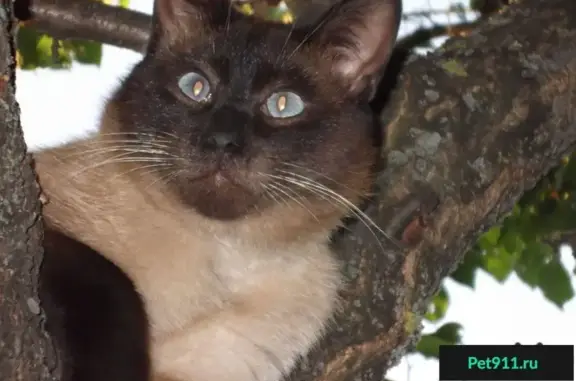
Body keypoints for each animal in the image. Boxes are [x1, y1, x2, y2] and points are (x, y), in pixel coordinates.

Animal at [35, 0, 400, 378]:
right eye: (196, 87)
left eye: (283, 104)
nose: (223, 141)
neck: (222, 251)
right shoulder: (53, 233)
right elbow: (116, 284)